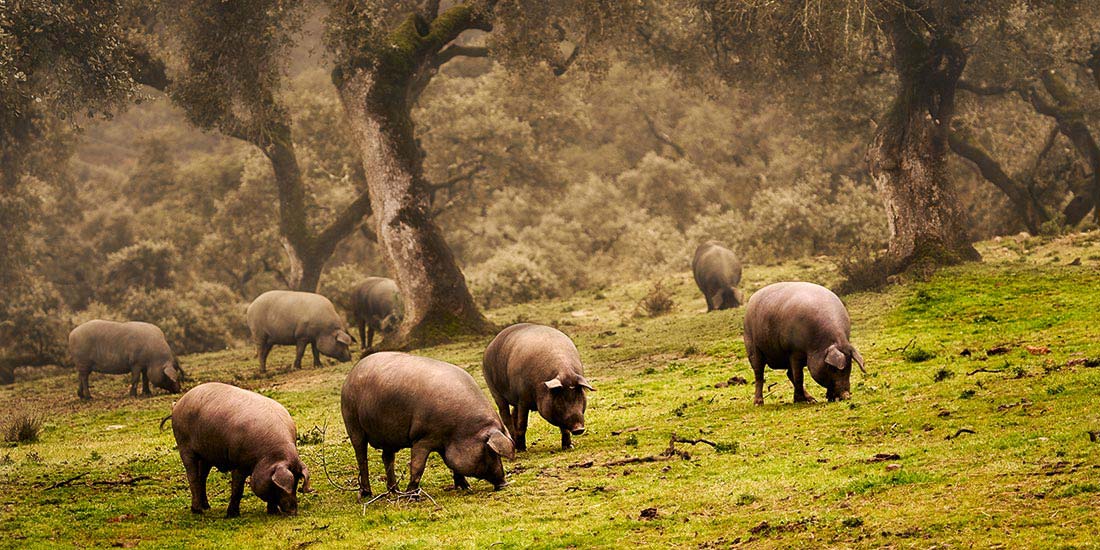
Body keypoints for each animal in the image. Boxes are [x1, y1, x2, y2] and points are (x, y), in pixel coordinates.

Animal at [169, 380, 312, 517]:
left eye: (296, 483)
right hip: (184, 445)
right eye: (280, 487)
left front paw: (273, 512)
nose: (293, 512)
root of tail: (178, 403)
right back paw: (198, 511)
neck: (266, 455)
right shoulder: (238, 463)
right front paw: (232, 515)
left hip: (206, 455)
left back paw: (207, 507)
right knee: (192, 476)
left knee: (202, 477)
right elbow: (238, 489)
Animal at [338, 352, 514, 499]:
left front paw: (466, 487)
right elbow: (418, 466)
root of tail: (351, 374)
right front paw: (412, 495)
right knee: (361, 456)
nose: (504, 484)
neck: (459, 430)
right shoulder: (422, 438)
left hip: (388, 436)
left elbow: (452, 465)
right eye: (490, 451)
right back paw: (367, 494)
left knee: (387, 458)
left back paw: (394, 491)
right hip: (352, 421)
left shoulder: (443, 443)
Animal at [484, 321, 594, 451]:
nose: (579, 429)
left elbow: (564, 428)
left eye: (579, 395)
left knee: (513, 413)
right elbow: (522, 423)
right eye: (561, 399)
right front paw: (522, 449)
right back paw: (516, 445)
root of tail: (491, 343)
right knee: (505, 414)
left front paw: (568, 447)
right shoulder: (523, 398)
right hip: (494, 389)